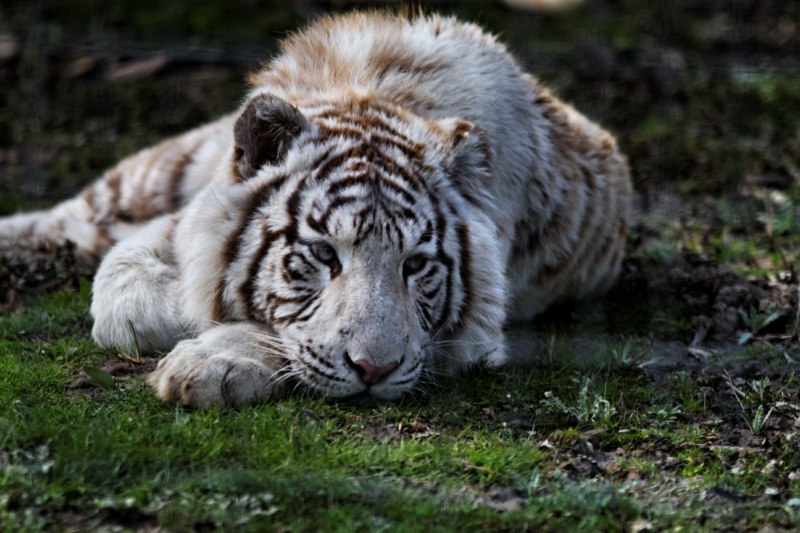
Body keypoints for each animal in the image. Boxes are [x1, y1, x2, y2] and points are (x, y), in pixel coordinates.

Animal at [0, 12, 632, 406]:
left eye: (415, 265)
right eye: (325, 255)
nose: (375, 370)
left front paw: (209, 364)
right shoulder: (174, 225)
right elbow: (126, 296)